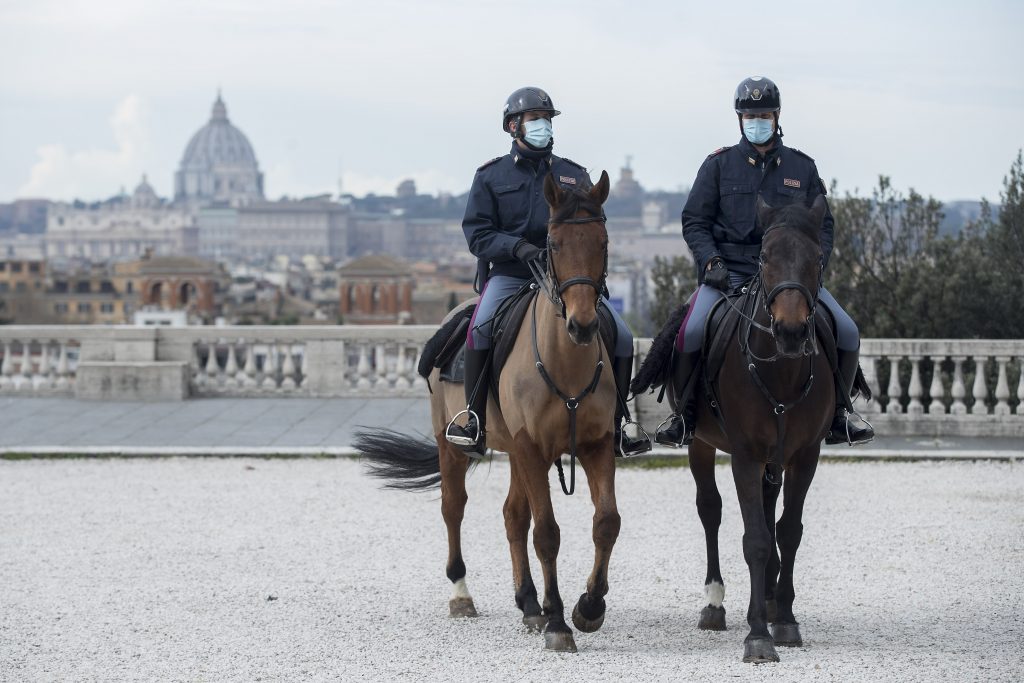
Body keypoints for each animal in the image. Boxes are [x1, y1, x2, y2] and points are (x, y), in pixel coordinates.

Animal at [356, 169, 618, 651]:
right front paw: (558, 623)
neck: (564, 361)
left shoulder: (596, 444)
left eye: (603, 241)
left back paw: (529, 603)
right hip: (455, 443)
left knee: (513, 516)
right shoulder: (532, 447)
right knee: (453, 507)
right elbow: (546, 533)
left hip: (516, 450)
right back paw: (463, 594)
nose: (583, 324)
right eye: (553, 244)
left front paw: (588, 607)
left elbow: (606, 521)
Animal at [667, 194, 835, 663]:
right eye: (763, 256)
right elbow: (756, 539)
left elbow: (788, 531)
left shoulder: (805, 456)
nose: (791, 331)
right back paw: (715, 604)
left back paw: (772, 601)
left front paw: (785, 619)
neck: (781, 371)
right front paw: (758, 634)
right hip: (701, 444)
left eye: (817, 258)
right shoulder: (744, 455)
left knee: (769, 510)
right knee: (711, 509)